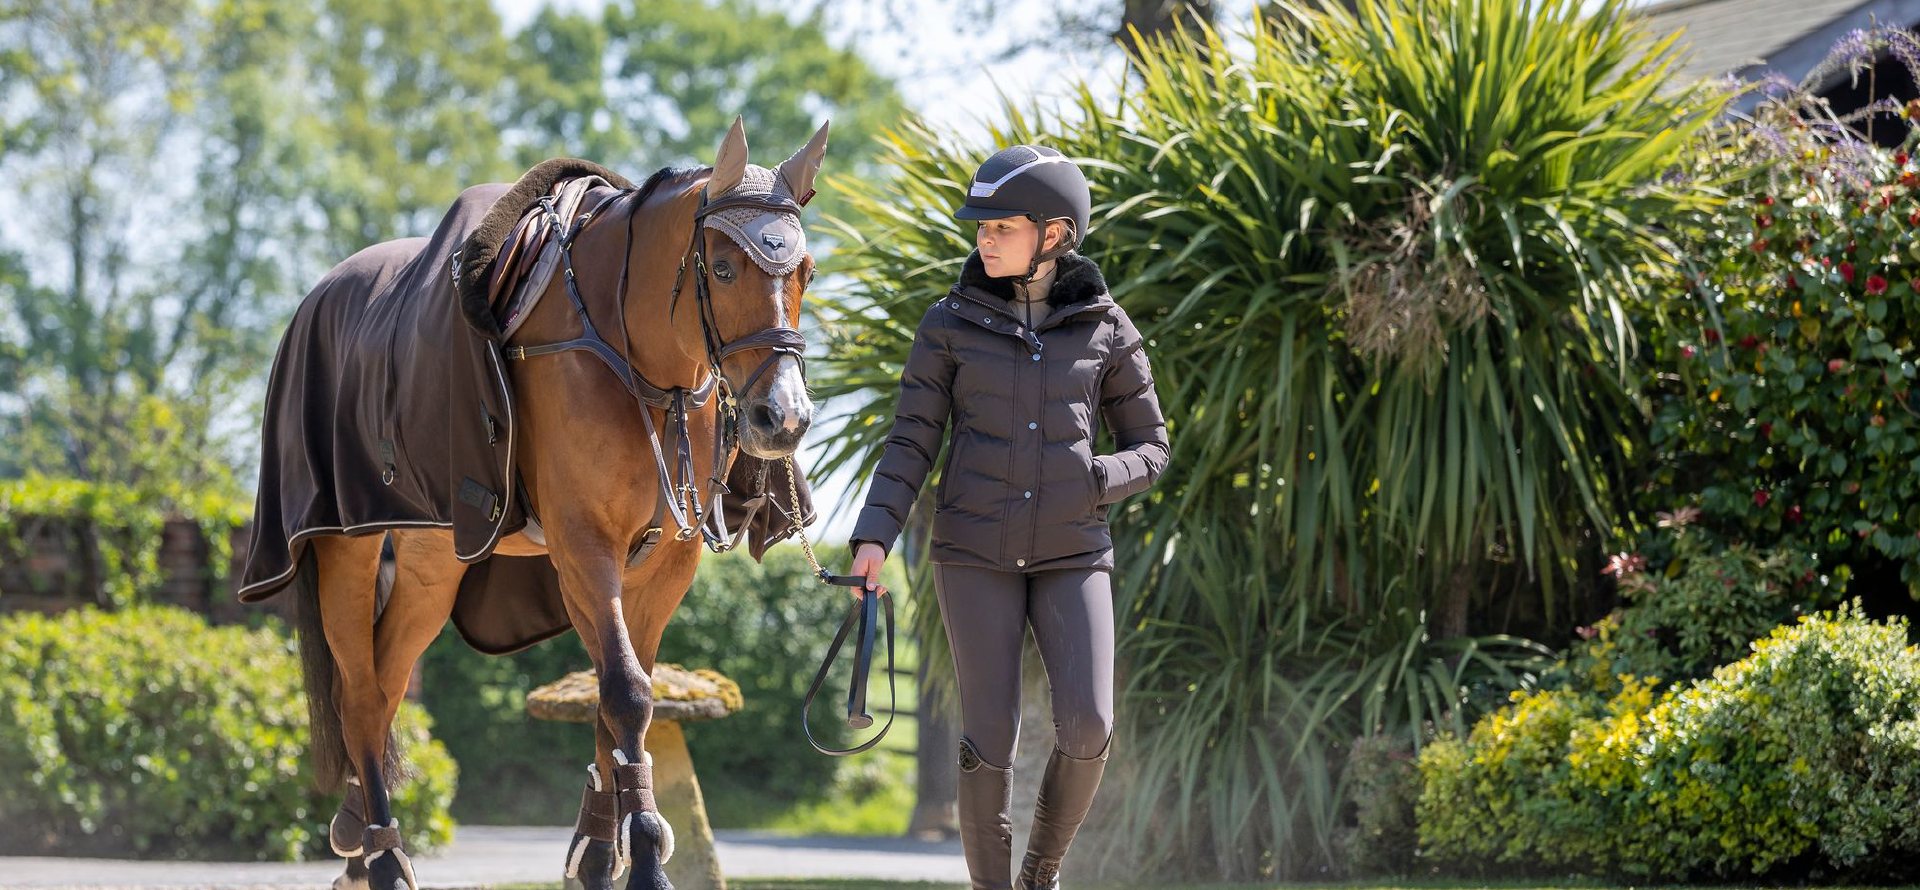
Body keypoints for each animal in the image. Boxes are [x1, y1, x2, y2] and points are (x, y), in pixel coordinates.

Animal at [239, 117, 828, 890]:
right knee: (360, 696)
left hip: (435, 559)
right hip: (347, 544)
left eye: (806, 271)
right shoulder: (585, 547)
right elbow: (628, 691)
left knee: (387, 683)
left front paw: (600, 853)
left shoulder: (663, 561)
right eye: (725, 268)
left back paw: (362, 846)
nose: (781, 418)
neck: (634, 359)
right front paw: (643, 855)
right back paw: (385, 856)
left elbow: (618, 697)